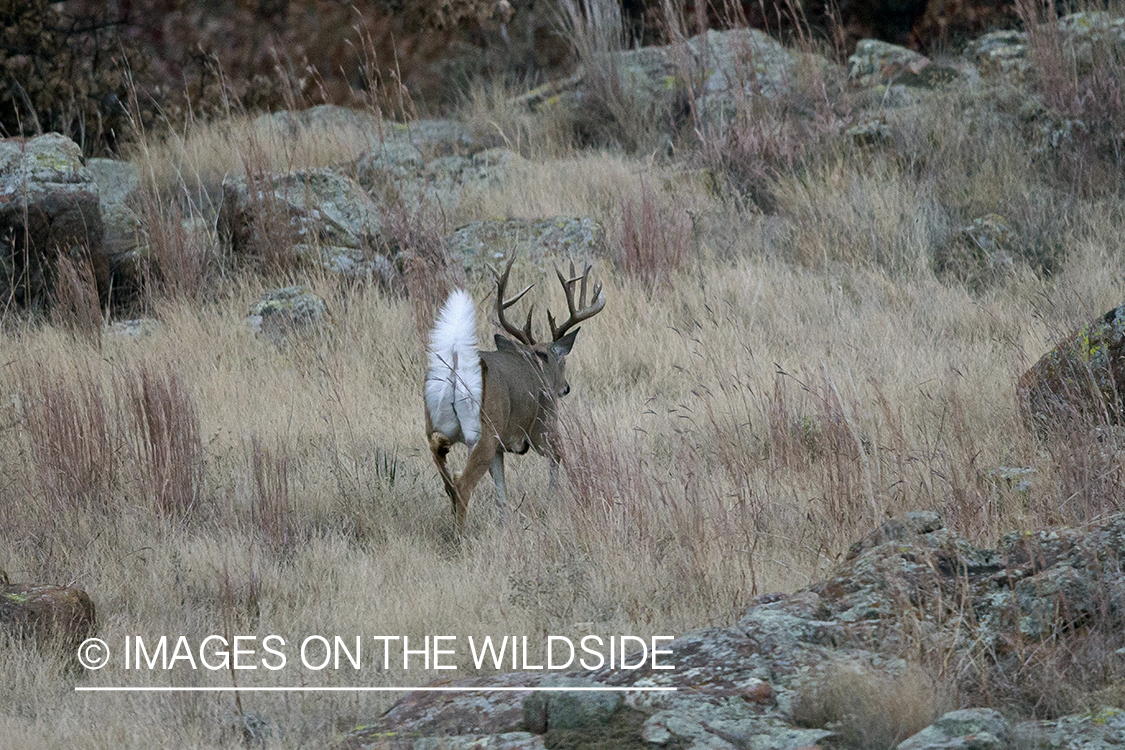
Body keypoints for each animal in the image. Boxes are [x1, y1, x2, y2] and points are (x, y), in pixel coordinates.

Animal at [423, 260, 607, 530]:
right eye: (562, 361)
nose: (565, 388)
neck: (537, 366)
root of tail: (456, 372)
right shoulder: (543, 425)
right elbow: (557, 458)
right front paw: (552, 504)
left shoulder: (500, 446)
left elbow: (501, 489)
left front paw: (504, 525)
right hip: (484, 432)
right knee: (462, 483)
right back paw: (461, 535)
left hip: (435, 427)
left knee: (447, 479)